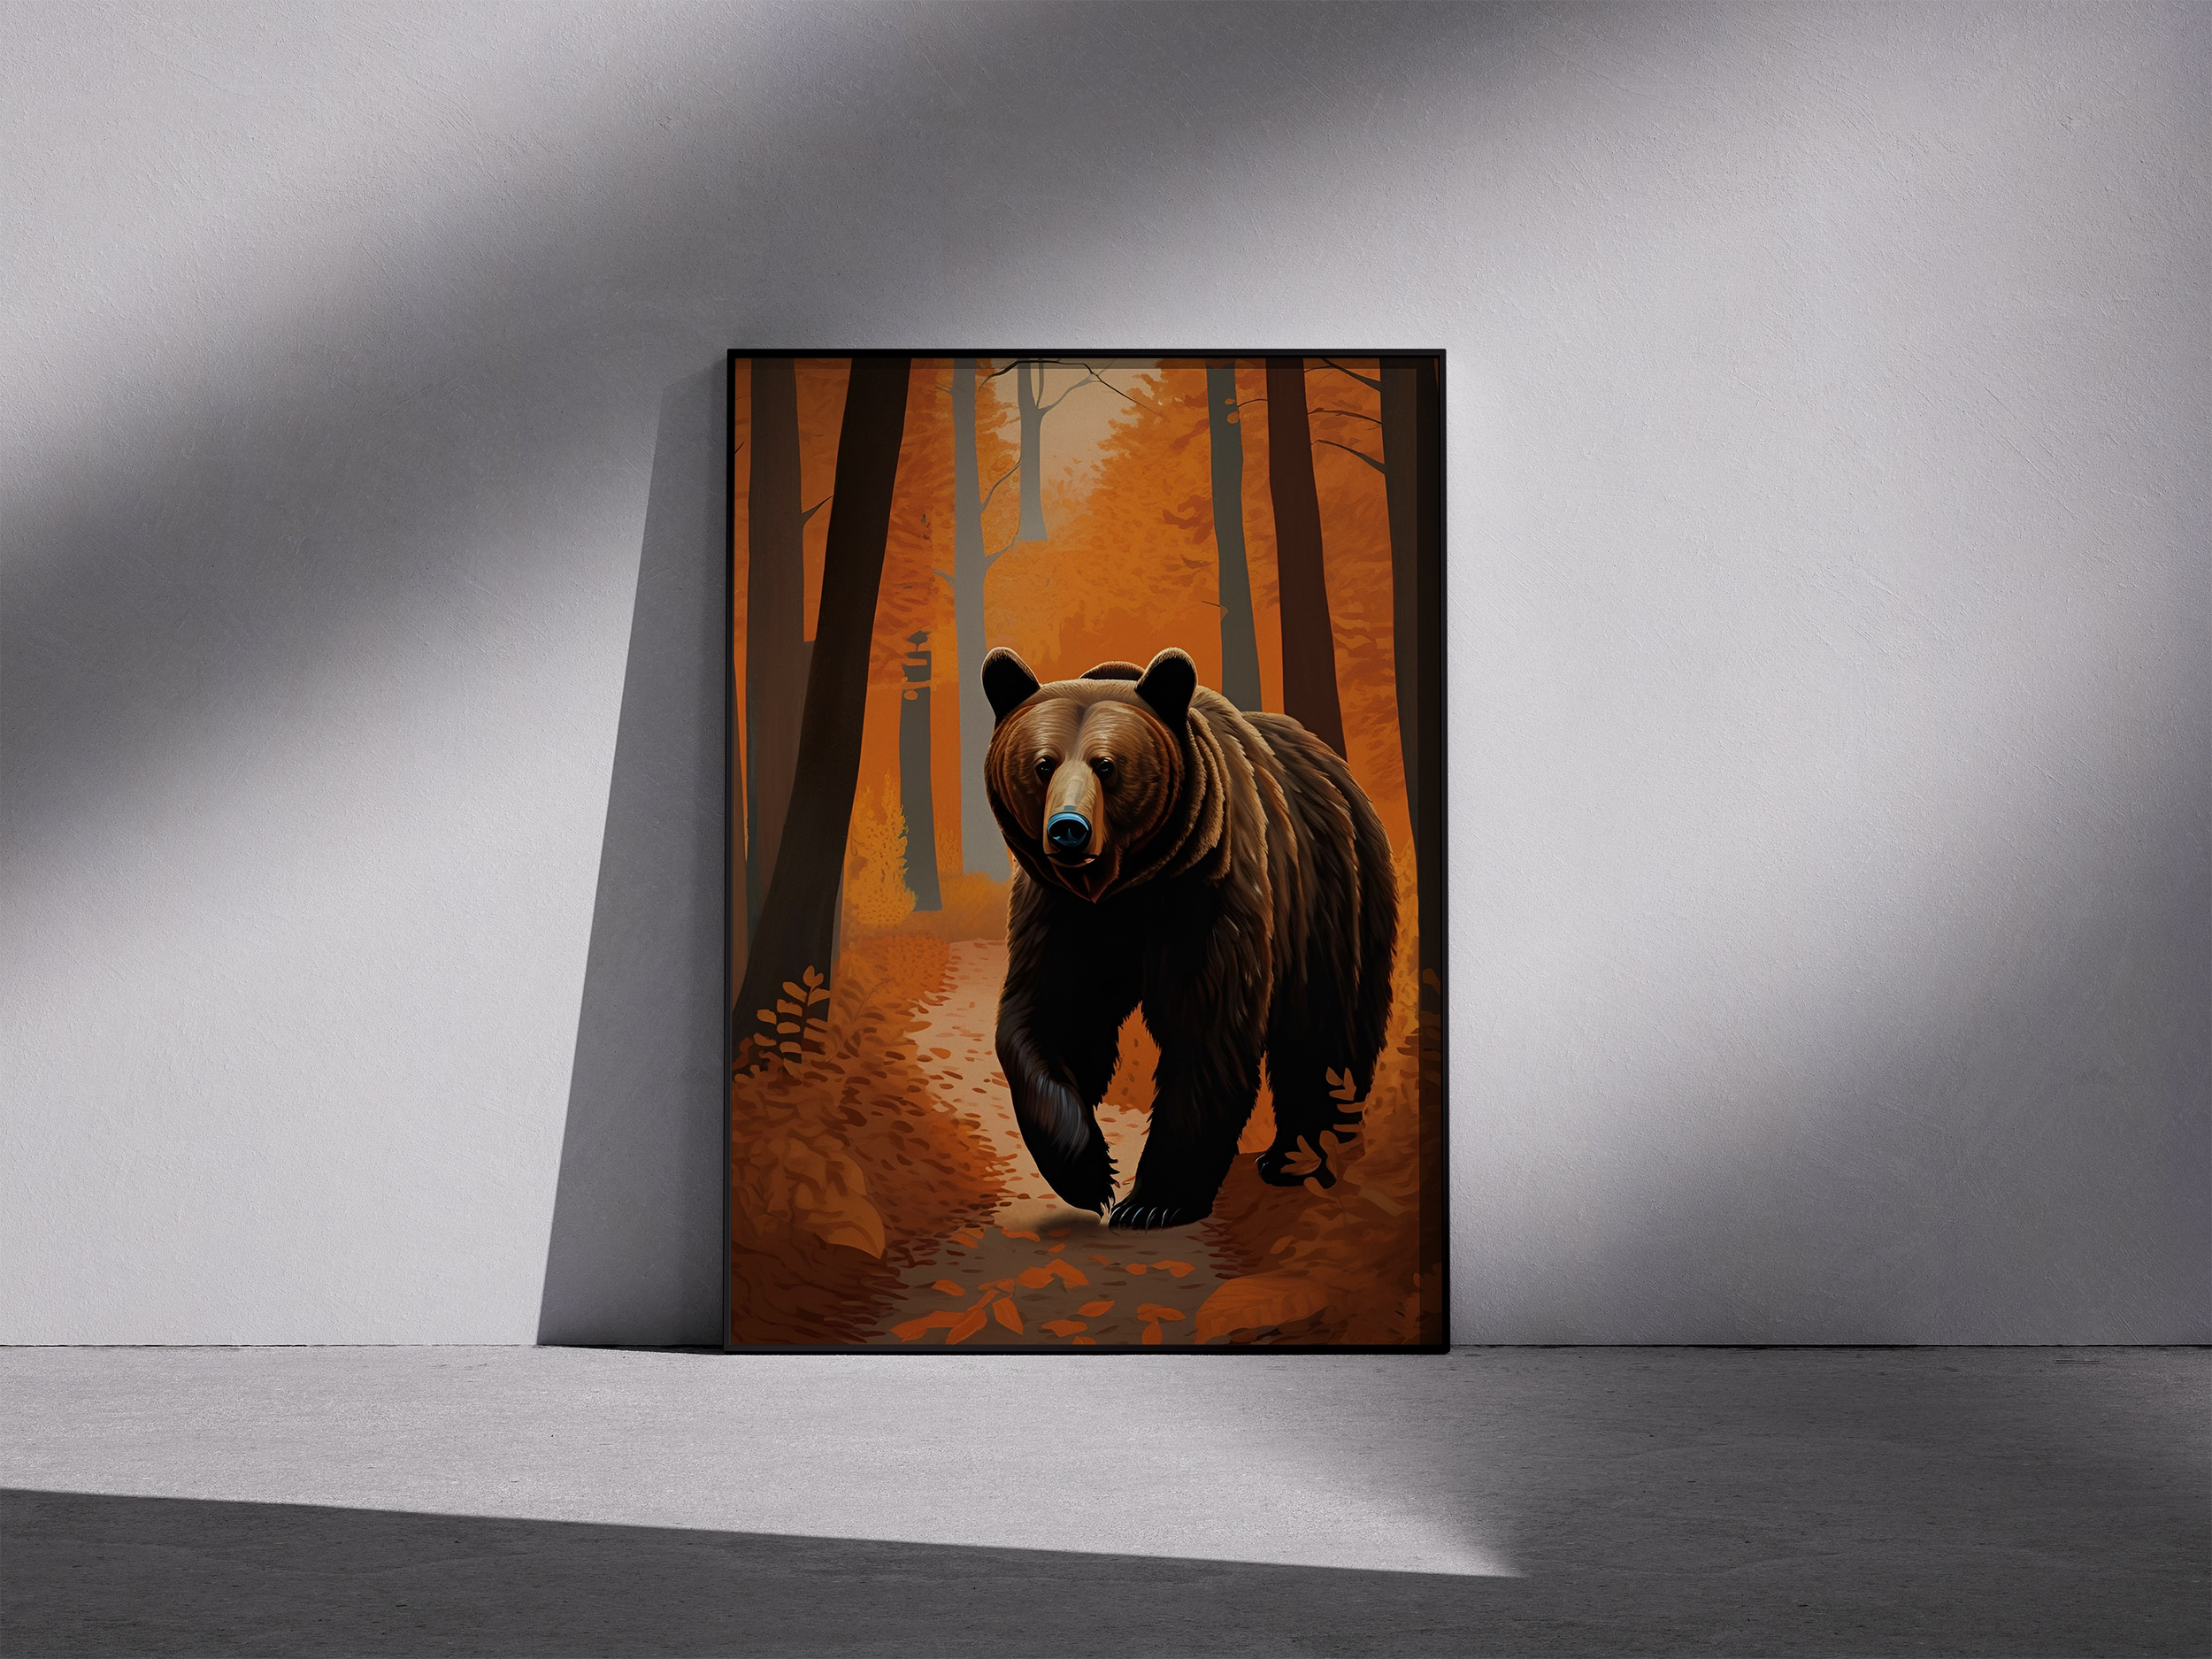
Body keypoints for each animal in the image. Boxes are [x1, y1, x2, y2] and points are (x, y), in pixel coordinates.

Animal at [980, 645, 1398, 1229]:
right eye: (1043, 764)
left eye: (1107, 765)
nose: (1067, 829)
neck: (1126, 887)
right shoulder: (1062, 913)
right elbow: (1051, 1020)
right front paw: (1088, 1173)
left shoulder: (1207, 890)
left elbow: (1208, 1029)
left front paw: (1152, 1200)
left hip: (1333, 897)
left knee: (1323, 1030)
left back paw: (1302, 1156)